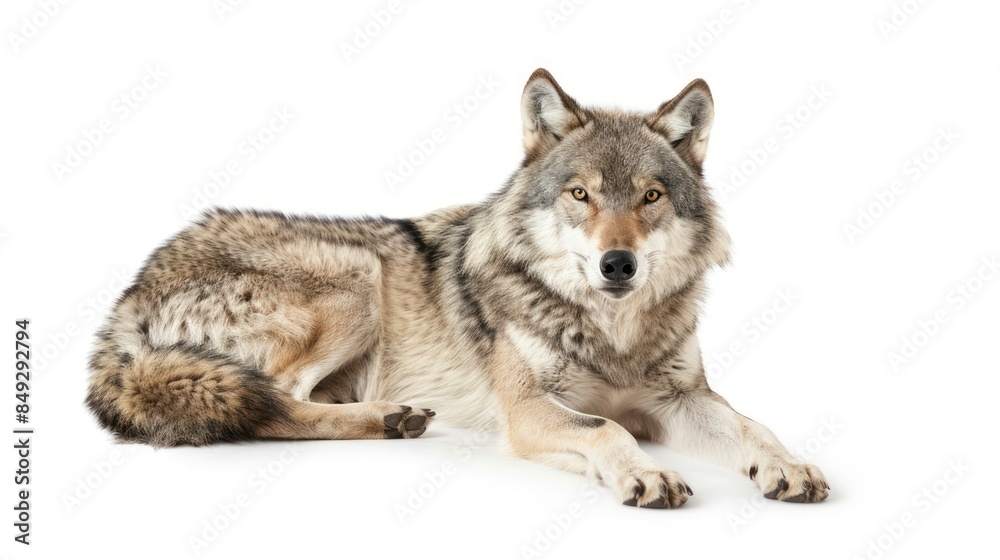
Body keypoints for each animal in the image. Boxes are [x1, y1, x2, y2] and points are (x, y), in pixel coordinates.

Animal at [87, 69, 829, 507]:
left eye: (650, 196)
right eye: (580, 195)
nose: (618, 264)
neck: (610, 331)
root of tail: (132, 291)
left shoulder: (678, 399)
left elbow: (754, 425)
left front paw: (789, 464)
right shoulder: (529, 410)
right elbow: (609, 429)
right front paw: (644, 472)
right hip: (355, 281)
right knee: (274, 404)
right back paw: (385, 418)